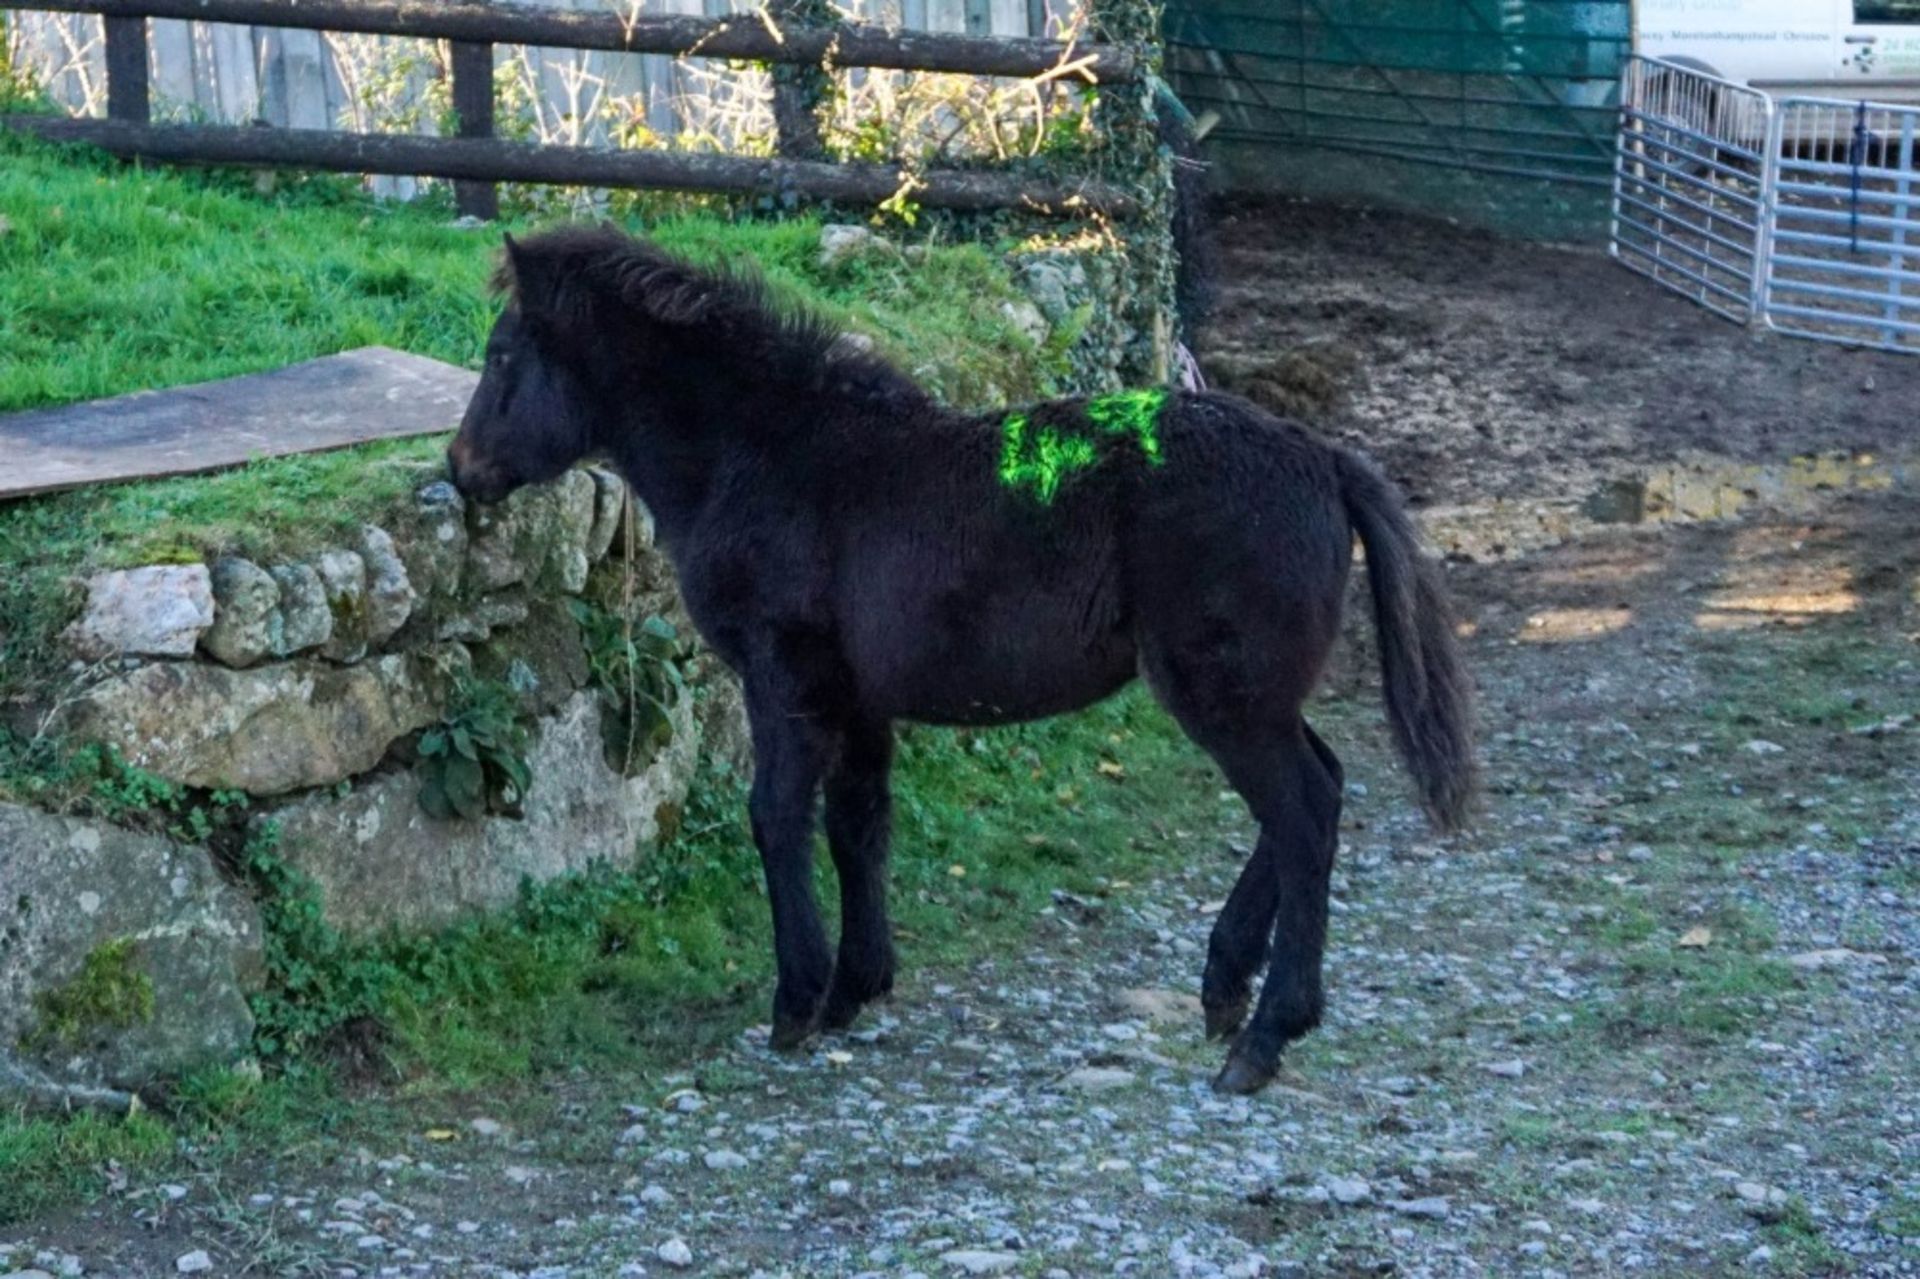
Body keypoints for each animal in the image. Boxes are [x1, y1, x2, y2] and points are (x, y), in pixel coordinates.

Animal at [445, 226, 1466, 1083]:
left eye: (502, 357)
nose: (460, 470)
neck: (770, 456)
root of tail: (1323, 459)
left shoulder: (785, 679)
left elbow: (777, 815)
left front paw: (797, 999)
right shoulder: (858, 698)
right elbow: (859, 824)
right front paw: (857, 985)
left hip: (1223, 694)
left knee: (1303, 810)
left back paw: (1264, 1034)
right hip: (1252, 694)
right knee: (1316, 792)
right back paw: (1224, 987)